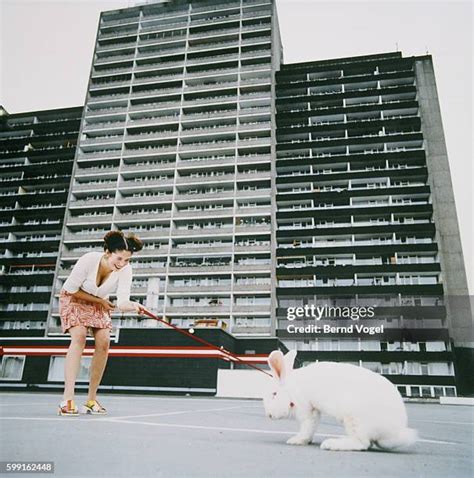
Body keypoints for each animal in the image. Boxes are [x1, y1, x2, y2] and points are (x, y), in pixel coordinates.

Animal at [262, 350, 418, 450]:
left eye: (274, 394)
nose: (269, 415)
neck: (292, 388)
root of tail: (395, 432)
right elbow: (312, 427)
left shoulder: (306, 408)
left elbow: (307, 427)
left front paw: (296, 440)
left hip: (354, 418)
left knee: (362, 444)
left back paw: (330, 444)